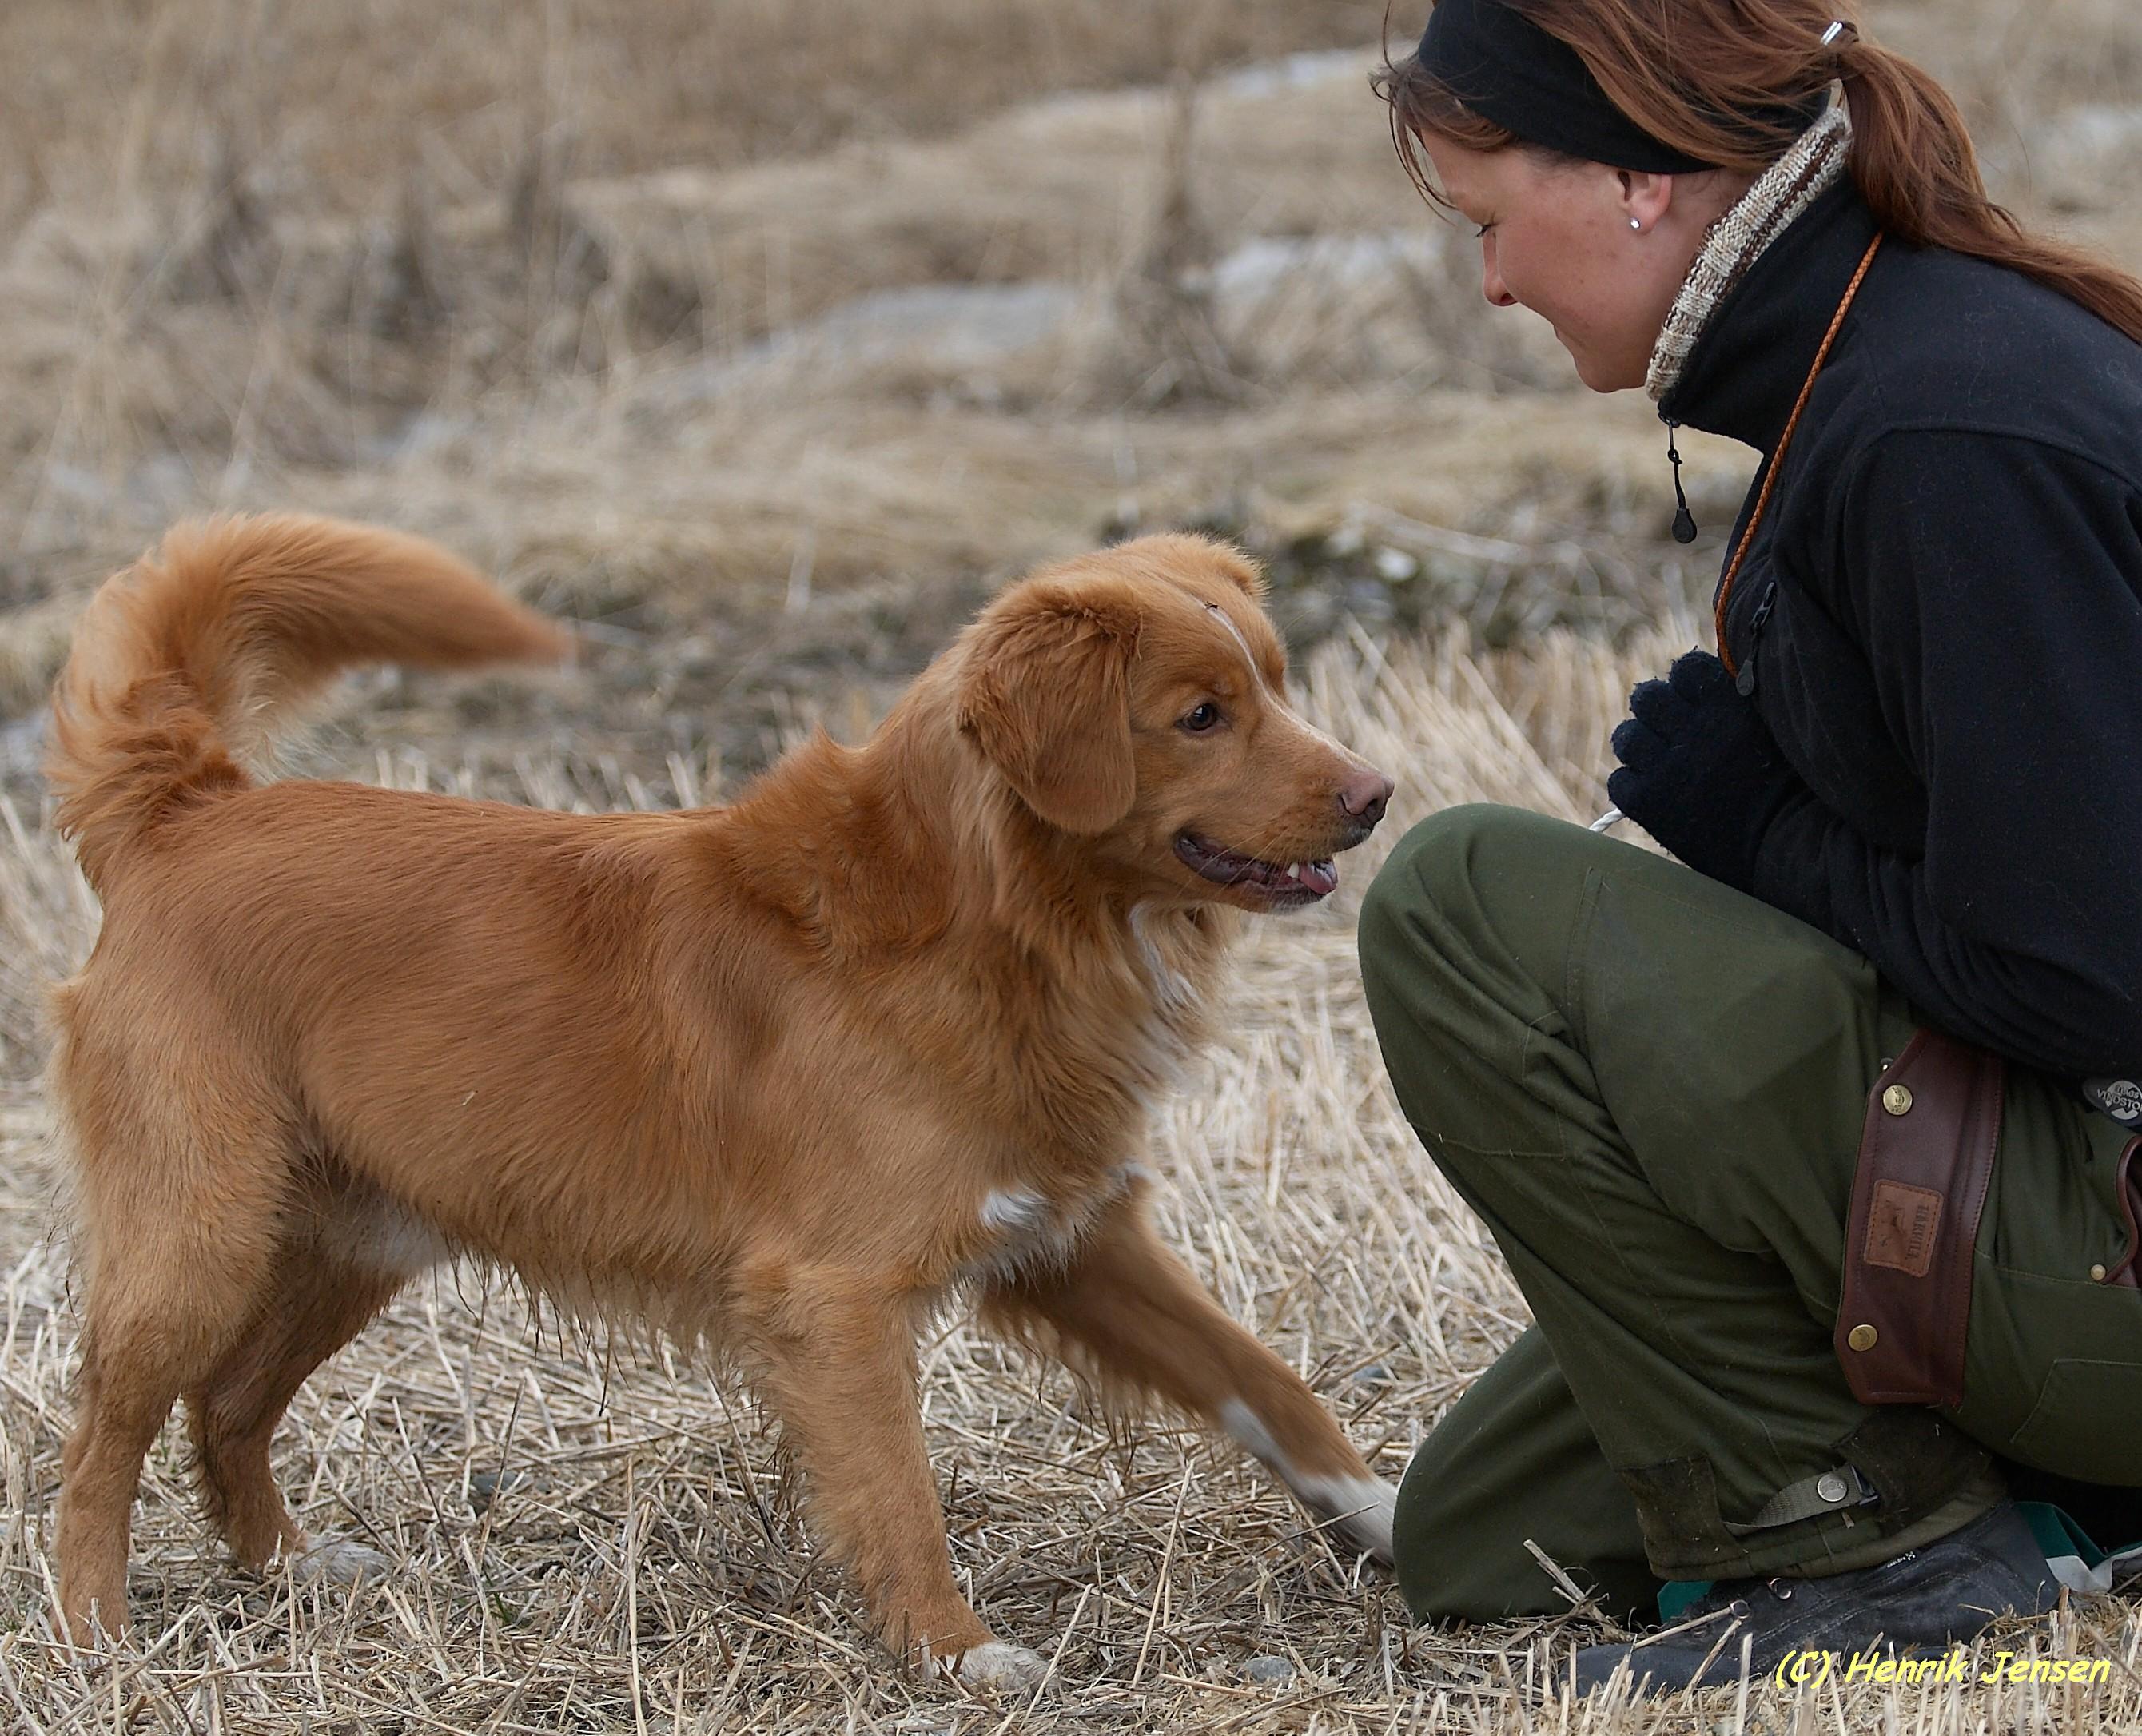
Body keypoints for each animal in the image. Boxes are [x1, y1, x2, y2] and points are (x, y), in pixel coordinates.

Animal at [46, 510, 1405, 1680]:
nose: (1376, 795)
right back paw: (93, 1632)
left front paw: (1387, 1512)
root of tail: (187, 809)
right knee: (105, 1432)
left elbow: (1266, 1382)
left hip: (355, 1235)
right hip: (203, 1234)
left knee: (226, 1406)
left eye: (1277, 685)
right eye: (1200, 715)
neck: (983, 919)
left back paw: (285, 1567)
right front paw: (954, 1651)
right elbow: (900, 1490)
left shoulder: (1074, 1245)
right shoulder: (837, 1295)